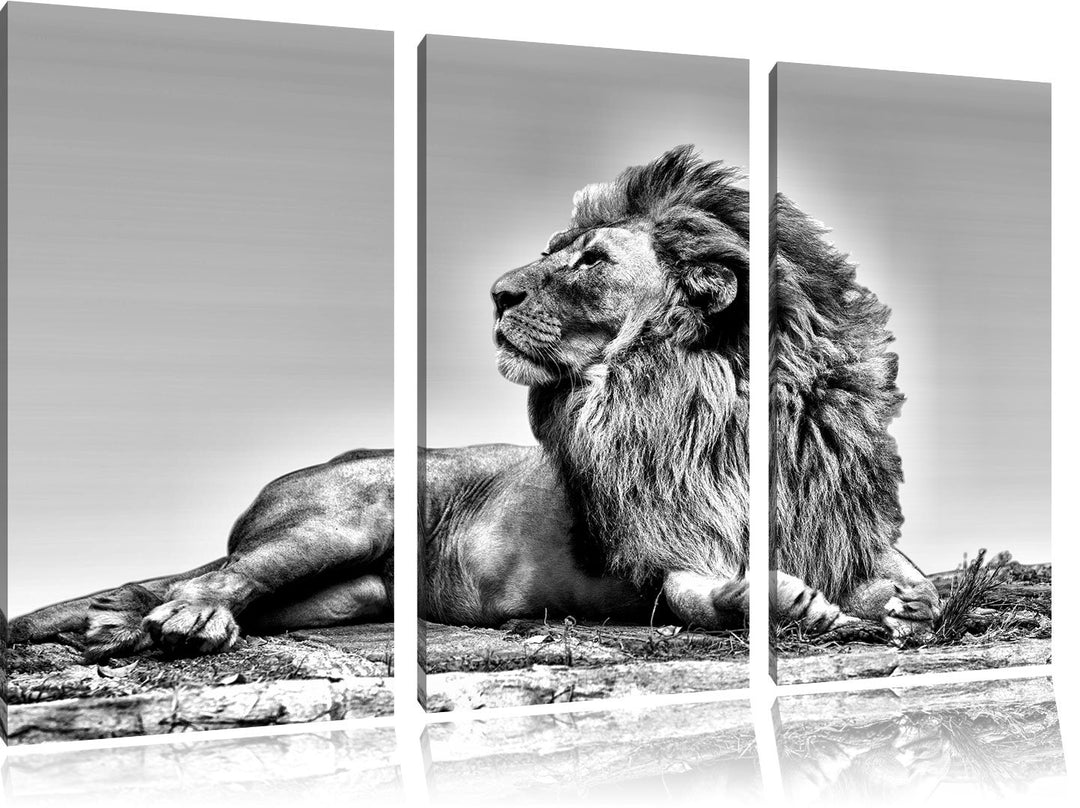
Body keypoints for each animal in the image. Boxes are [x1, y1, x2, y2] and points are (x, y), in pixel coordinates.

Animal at [9, 146, 936, 661]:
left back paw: (119, 627)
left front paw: (901, 601)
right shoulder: (652, 553)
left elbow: (900, 577)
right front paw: (786, 601)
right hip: (336, 520)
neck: (715, 395)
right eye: (554, 253)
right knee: (215, 574)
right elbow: (695, 594)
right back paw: (182, 620)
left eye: (590, 262)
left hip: (354, 594)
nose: (496, 293)